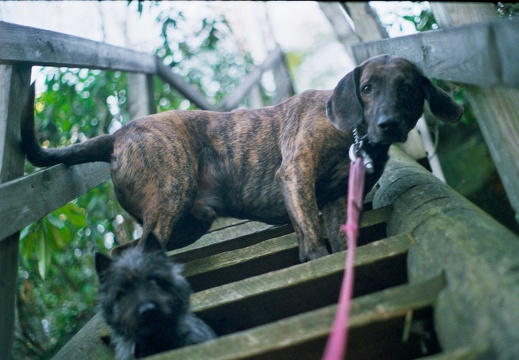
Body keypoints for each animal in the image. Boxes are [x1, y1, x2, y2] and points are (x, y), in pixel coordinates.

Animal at [22, 54, 466, 260]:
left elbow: (340, 240)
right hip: (171, 193)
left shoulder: (340, 199)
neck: (352, 134)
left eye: (408, 87)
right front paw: (316, 260)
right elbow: (311, 235)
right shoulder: (296, 173)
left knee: (123, 252)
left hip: (188, 223)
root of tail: (116, 135)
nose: (389, 124)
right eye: (368, 87)